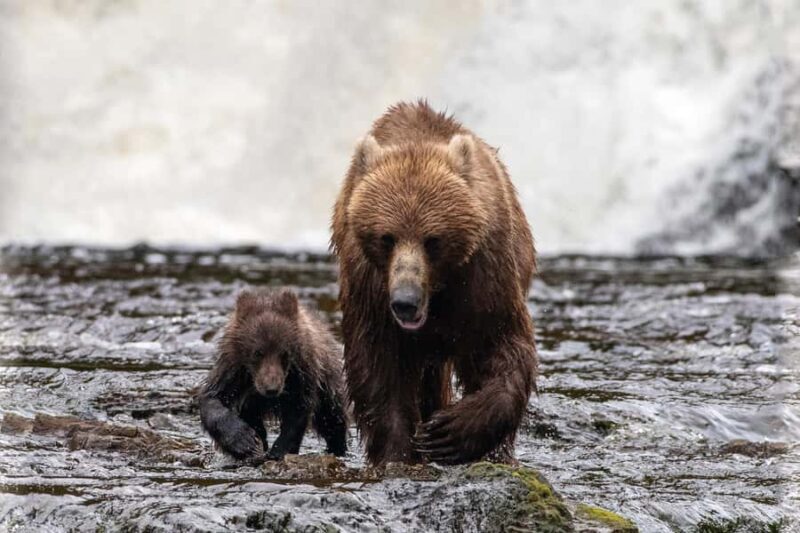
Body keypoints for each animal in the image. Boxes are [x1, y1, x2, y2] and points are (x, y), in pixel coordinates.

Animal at [198, 288, 348, 461]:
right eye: (257, 352)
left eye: (284, 353)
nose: (271, 388)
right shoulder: (233, 370)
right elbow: (213, 398)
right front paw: (244, 441)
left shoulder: (301, 374)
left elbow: (297, 413)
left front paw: (278, 450)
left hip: (328, 378)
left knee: (331, 417)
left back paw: (337, 447)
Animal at [331, 100, 537, 465]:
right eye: (387, 237)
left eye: (433, 240)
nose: (405, 300)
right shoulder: (369, 288)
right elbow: (378, 368)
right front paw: (399, 452)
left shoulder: (484, 276)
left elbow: (502, 346)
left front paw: (450, 432)